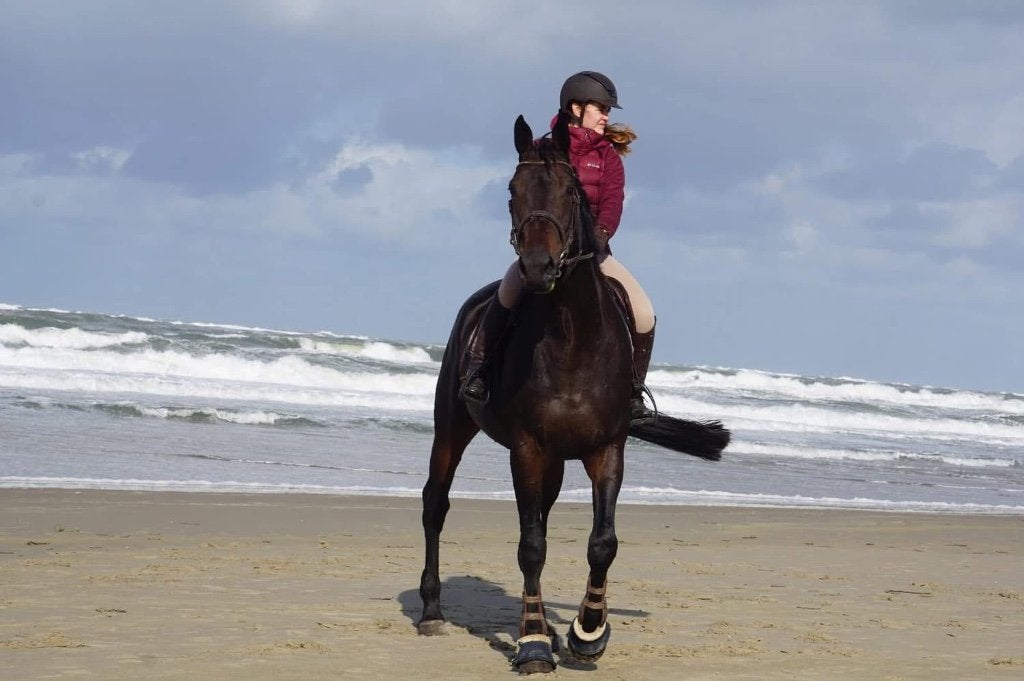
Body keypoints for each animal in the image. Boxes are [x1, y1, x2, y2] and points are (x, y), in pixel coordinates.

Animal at [418, 113, 729, 673]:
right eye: (512, 190)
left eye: (570, 191)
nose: (538, 267)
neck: (572, 336)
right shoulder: (526, 449)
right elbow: (531, 545)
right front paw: (533, 642)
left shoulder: (606, 449)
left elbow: (601, 542)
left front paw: (587, 631)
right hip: (453, 426)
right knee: (436, 503)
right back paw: (432, 609)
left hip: (556, 462)